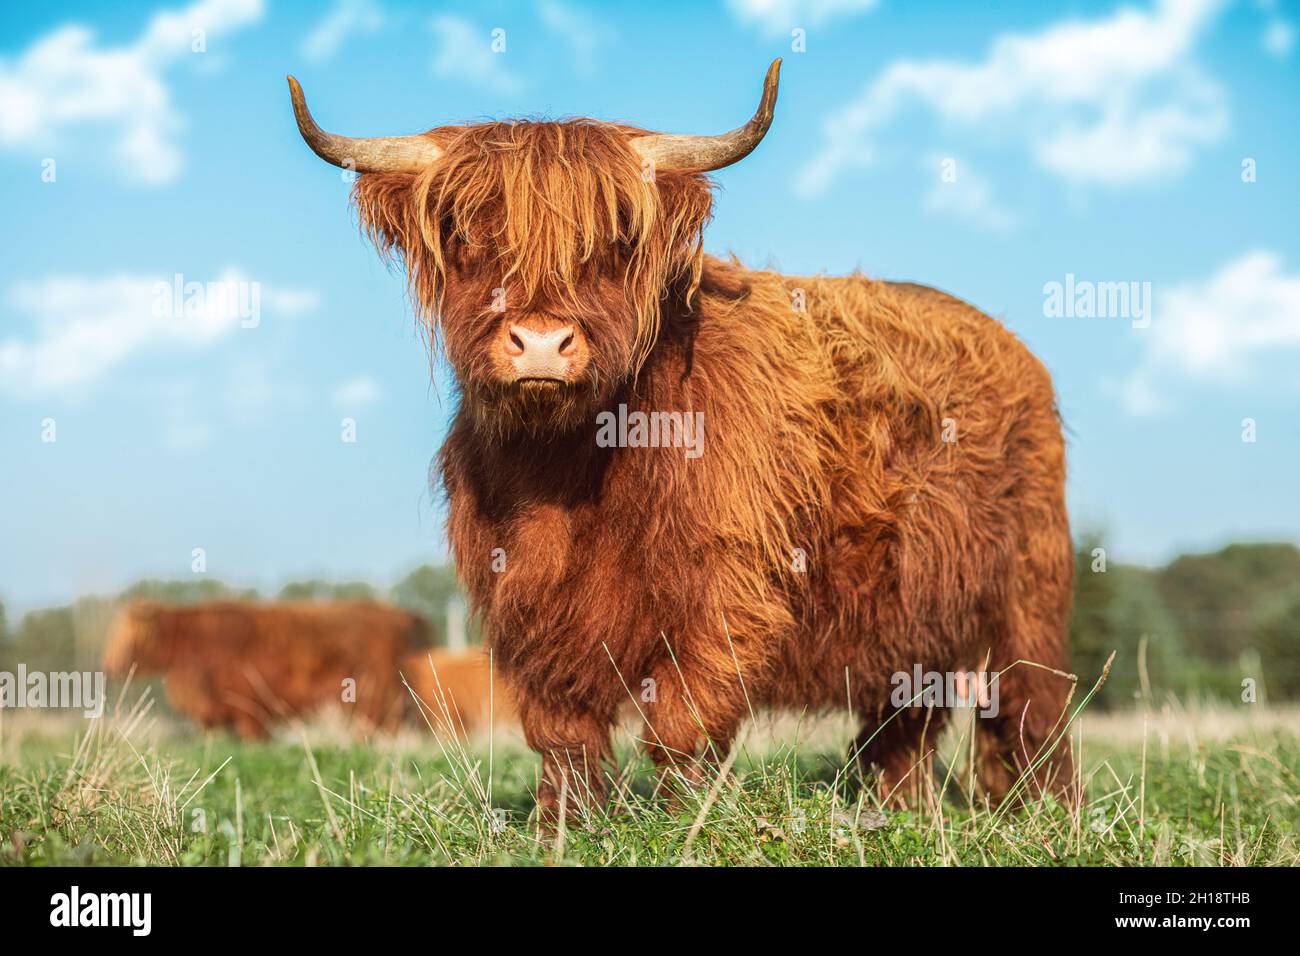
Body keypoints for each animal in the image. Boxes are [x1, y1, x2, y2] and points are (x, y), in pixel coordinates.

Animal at [288, 59, 1076, 820]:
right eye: (465, 234)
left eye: (614, 241)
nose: (540, 343)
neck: (570, 471)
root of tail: (1010, 344)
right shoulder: (523, 594)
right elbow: (560, 728)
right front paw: (561, 824)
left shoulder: (727, 583)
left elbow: (684, 718)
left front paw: (682, 821)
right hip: (912, 619)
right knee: (903, 721)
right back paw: (901, 810)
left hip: (1029, 587)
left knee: (1033, 705)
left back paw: (1042, 811)